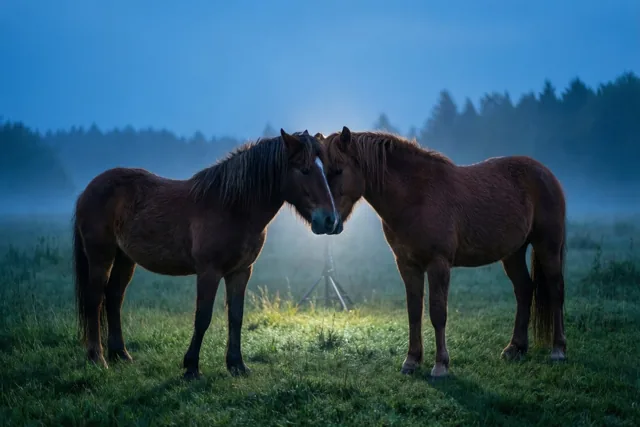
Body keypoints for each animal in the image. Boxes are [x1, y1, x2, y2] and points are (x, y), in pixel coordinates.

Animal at [73, 129, 340, 380]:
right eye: (304, 170)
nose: (330, 220)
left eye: (325, 170)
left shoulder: (241, 271)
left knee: (114, 297)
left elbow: (236, 316)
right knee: (95, 299)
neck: (232, 207)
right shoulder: (209, 272)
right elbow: (203, 317)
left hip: (125, 259)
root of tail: (88, 189)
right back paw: (97, 358)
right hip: (101, 256)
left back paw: (120, 354)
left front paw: (237, 365)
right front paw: (191, 367)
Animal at [318, 126, 567, 377]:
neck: (416, 196)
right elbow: (414, 311)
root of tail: (546, 173)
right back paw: (516, 348)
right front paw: (411, 360)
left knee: (555, 290)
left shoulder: (438, 264)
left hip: (547, 246)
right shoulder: (408, 265)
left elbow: (438, 313)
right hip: (513, 254)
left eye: (338, 170)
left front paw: (440, 365)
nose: (326, 221)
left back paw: (558, 350)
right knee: (524, 290)